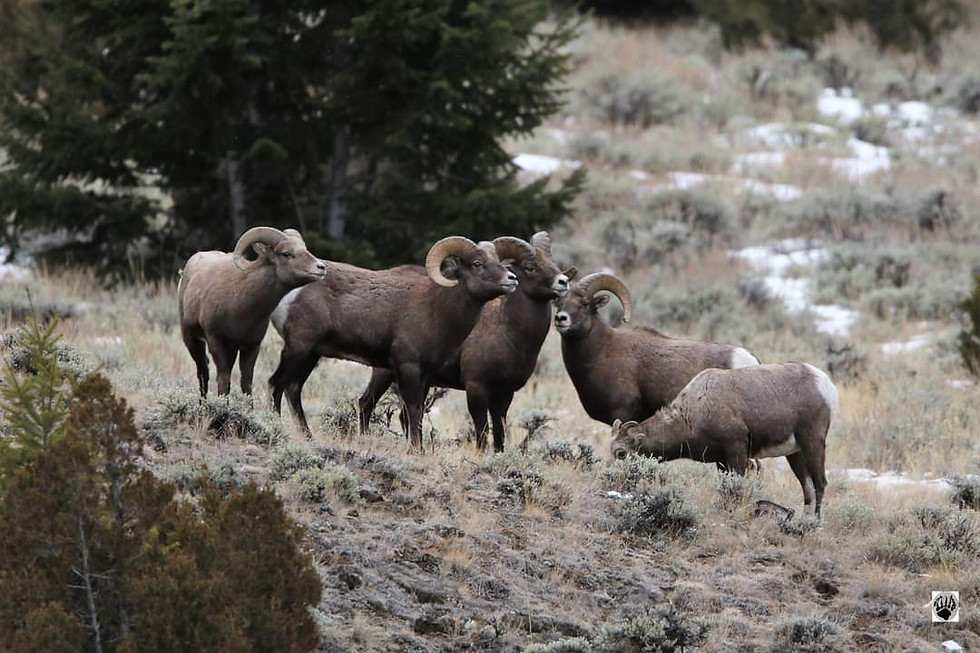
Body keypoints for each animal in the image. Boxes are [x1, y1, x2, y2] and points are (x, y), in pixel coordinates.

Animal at [177, 227, 325, 397]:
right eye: (286, 253)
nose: (321, 267)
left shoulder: (252, 346)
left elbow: (246, 383)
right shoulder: (215, 341)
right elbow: (223, 379)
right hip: (191, 339)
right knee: (203, 373)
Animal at [268, 236, 519, 451]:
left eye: (499, 261)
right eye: (477, 263)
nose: (511, 279)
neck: (436, 309)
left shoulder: (425, 375)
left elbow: (414, 414)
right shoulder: (408, 367)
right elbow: (413, 410)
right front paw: (417, 450)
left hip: (310, 355)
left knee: (293, 388)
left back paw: (307, 436)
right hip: (299, 349)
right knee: (276, 384)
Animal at [356, 232, 574, 452]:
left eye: (552, 262)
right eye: (530, 267)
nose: (563, 282)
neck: (510, 333)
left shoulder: (504, 393)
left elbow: (499, 433)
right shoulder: (476, 387)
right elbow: (482, 429)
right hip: (386, 373)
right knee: (367, 403)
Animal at [554, 272, 760, 426]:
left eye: (585, 303)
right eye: (559, 304)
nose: (560, 319)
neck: (601, 353)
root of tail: (748, 360)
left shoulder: (623, 414)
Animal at [610, 362, 839, 516]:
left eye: (621, 453)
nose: (614, 482)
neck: (693, 414)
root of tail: (825, 385)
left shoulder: (737, 452)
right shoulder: (721, 461)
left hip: (812, 443)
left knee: (820, 484)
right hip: (795, 454)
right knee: (808, 488)